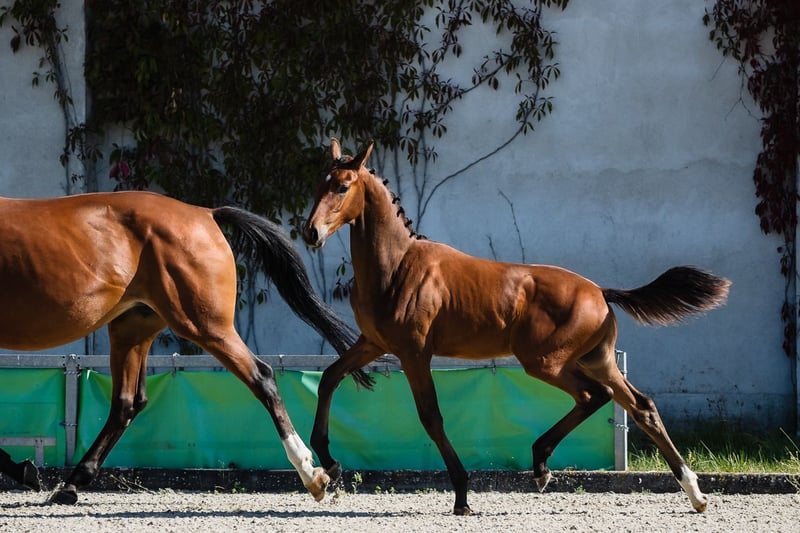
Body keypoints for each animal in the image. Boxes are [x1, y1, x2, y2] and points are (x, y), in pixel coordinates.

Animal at [0, 190, 373, 504]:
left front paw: (23, 470)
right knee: (126, 403)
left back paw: (311, 473)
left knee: (262, 377)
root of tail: (205, 214)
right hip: (132, 327)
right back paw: (72, 483)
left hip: (203, 324)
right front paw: (25, 470)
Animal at [302, 139, 731, 516]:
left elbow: (431, 417)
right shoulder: (373, 343)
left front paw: (462, 496)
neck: (397, 267)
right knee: (640, 407)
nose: (311, 233)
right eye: (319, 183)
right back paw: (695, 494)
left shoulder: (414, 352)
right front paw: (329, 465)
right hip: (597, 360)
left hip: (545, 361)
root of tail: (599, 291)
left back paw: (541, 465)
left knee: (593, 396)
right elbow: (329, 379)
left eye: (342, 186)